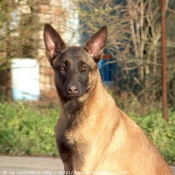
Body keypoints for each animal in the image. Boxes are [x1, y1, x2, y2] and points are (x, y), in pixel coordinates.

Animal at [43, 24, 172, 175]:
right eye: (63, 67)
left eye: (84, 67)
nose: (72, 90)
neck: (74, 114)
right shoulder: (68, 164)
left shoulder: (83, 167)